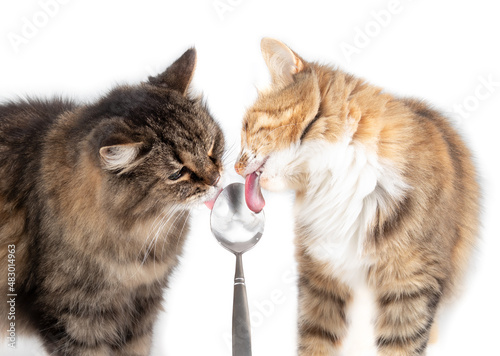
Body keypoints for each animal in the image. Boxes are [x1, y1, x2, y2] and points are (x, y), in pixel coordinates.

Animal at [236, 37, 478, 354]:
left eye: (246, 127)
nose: (234, 167)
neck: (340, 182)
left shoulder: (412, 283)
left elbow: (400, 346)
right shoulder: (320, 280)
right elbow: (315, 342)